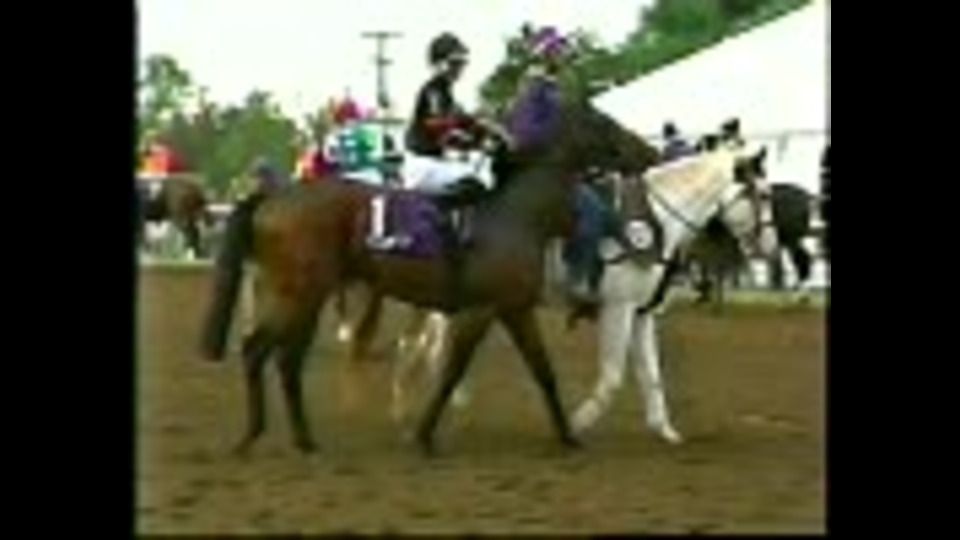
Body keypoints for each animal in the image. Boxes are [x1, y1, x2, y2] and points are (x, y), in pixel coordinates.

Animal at [199, 97, 661, 456]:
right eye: (604, 123)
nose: (650, 153)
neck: (517, 214)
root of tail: (269, 199)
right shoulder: (478, 310)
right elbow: (452, 371)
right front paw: (423, 435)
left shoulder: (515, 309)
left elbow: (543, 371)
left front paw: (568, 436)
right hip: (296, 293)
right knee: (257, 350)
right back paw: (252, 436)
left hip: (305, 296)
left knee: (286, 360)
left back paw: (305, 440)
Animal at [569, 143, 779, 441]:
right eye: (764, 194)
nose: (772, 247)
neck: (658, 219)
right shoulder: (618, 307)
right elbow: (612, 377)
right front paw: (573, 425)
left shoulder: (640, 312)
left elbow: (651, 373)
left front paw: (664, 430)